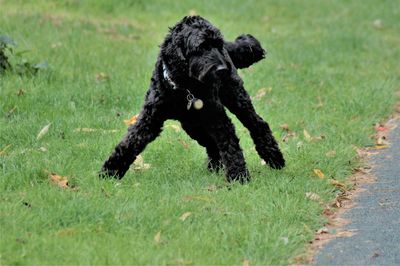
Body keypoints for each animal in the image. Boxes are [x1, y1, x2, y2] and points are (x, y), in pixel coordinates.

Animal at [102, 16, 284, 183]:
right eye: (201, 46)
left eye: (217, 45)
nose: (222, 69)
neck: (184, 88)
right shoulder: (150, 119)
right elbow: (130, 142)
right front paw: (110, 170)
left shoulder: (217, 117)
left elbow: (230, 144)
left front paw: (239, 176)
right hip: (193, 125)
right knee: (211, 143)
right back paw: (214, 167)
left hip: (236, 99)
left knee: (258, 124)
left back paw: (274, 157)